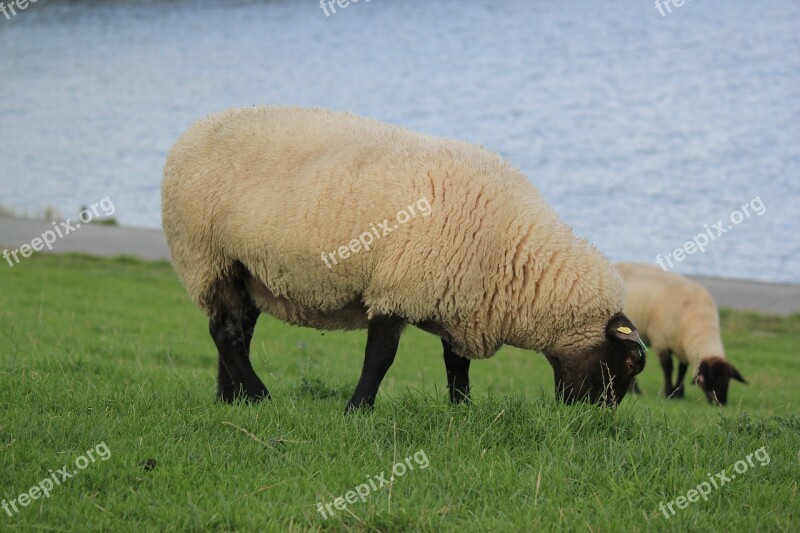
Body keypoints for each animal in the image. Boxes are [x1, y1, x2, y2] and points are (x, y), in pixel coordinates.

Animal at [162, 106, 648, 410]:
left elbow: (456, 365)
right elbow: (380, 358)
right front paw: (358, 409)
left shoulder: (458, 300)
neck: (509, 254)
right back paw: (259, 396)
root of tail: (190, 134)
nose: (594, 421)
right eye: (627, 364)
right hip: (208, 256)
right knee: (226, 334)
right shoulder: (395, 287)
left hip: (244, 268)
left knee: (235, 331)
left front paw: (461, 409)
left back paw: (232, 398)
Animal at [616, 260, 748, 404]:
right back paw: (634, 390)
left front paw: (679, 393)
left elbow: (682, 369)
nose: (720, 403)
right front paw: (669, 392)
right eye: (710, 379)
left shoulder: (682, 347)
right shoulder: (660, 341)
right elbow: (668, 367)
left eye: (728, 380)